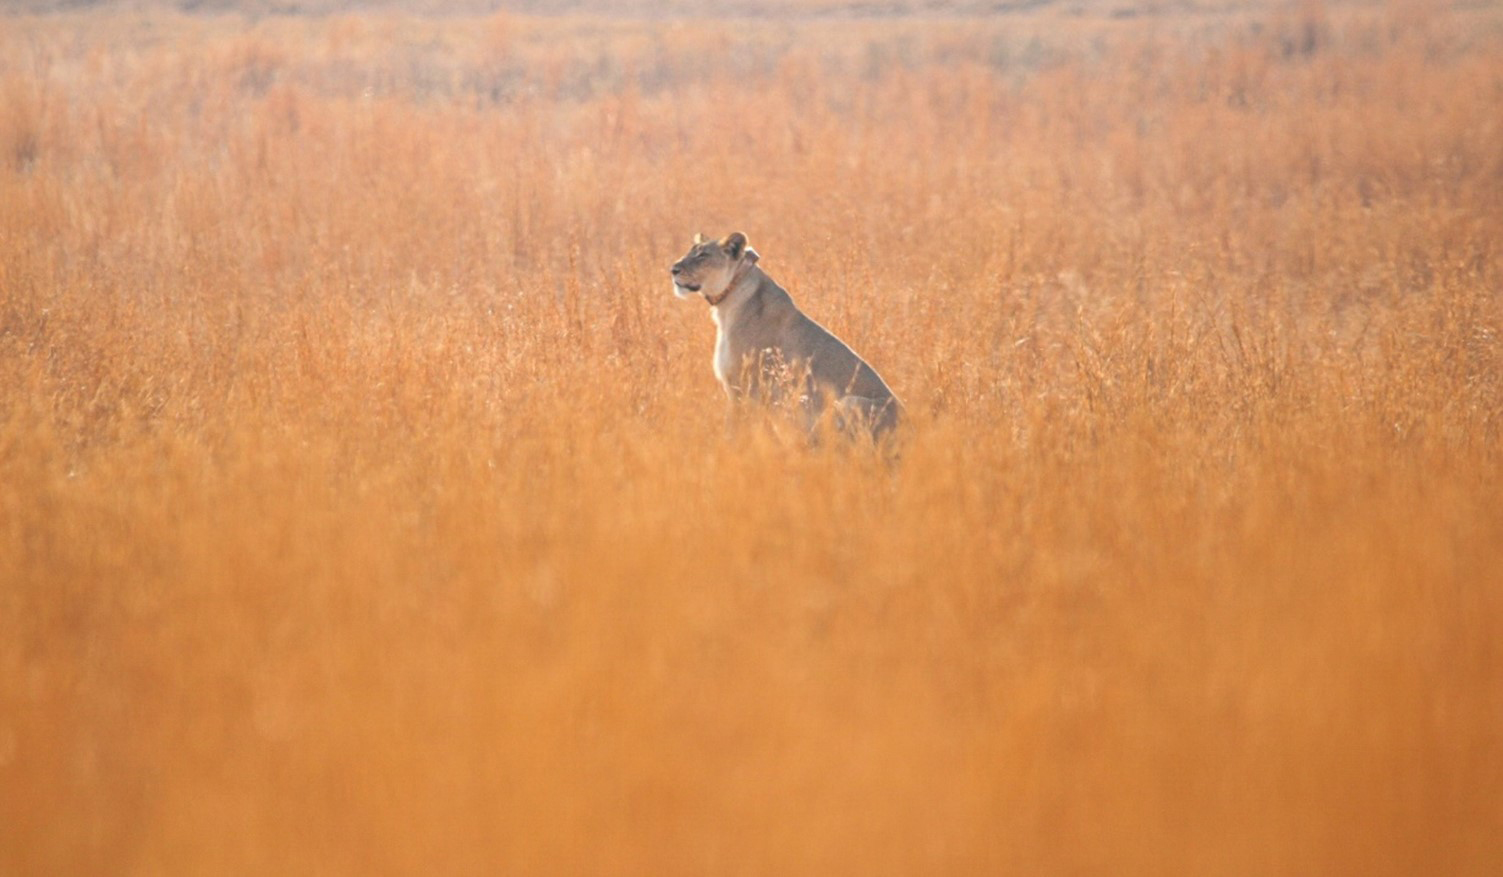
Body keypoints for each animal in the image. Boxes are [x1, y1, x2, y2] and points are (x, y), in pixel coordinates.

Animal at [671, 232, 901, 440]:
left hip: (849, 403)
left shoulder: (746, 387)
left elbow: (736, 432)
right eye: (691, 251)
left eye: (702, 255)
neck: (726, 303)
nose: (673, 269)